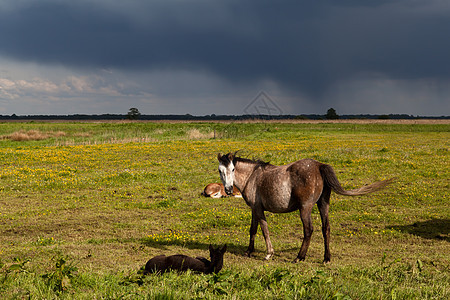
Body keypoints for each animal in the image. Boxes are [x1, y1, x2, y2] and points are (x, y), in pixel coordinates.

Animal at [216, 152, 392, 262]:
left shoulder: (258, 209)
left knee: (308, 230)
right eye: (220, 170)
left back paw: (300, 257)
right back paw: (326, 258)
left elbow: (264, 230)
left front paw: (269, 254)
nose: (229, 190)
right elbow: (253, 230)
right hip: (323, 204)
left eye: (233, 169)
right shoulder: (254, 209)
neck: (252, 177)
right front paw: (248, 251)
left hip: (305, 208)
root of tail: (319, 165)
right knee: (326, 228)